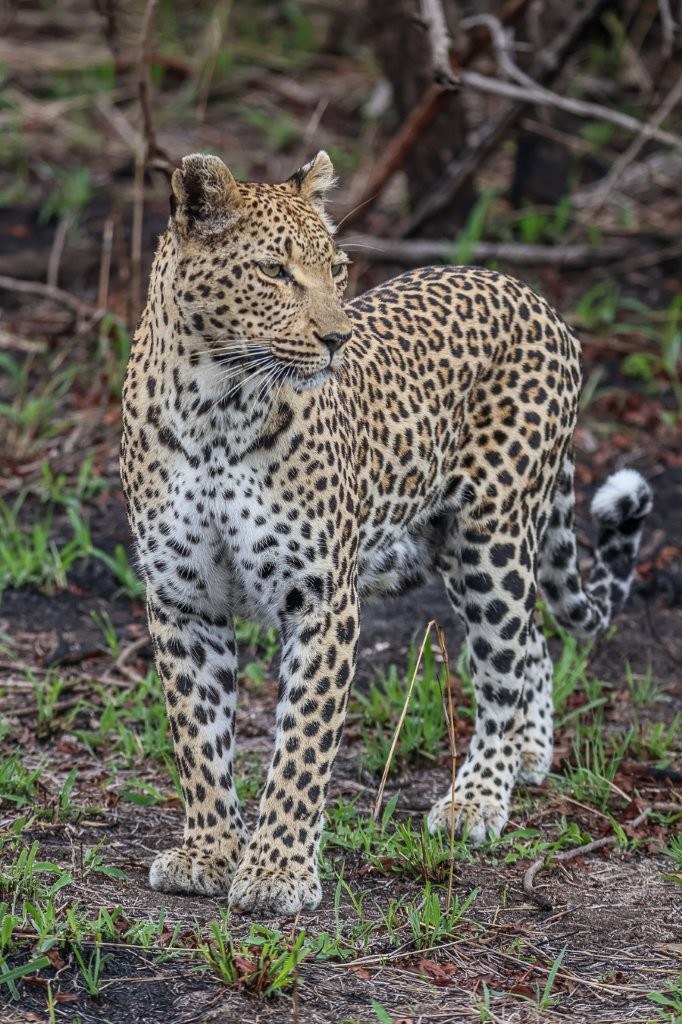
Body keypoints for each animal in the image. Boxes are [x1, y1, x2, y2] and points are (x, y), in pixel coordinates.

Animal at [120, 150, 652, 916]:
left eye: (337, 269)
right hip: (451, 544)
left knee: (503, 665)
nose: (337, 339)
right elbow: (199, 737)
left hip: (490, 536)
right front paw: (209, 853)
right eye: (274, 270)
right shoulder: (181, 599)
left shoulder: (320, 600)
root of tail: (530, 293)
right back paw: (529, 753)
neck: (215, 408)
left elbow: (302, 745)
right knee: (532, 644)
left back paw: (477, 798)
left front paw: (277, 870)